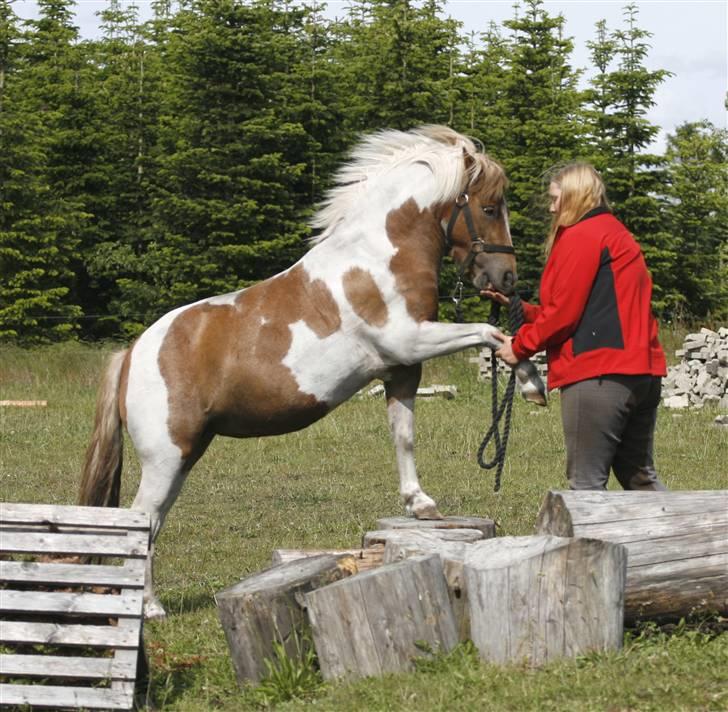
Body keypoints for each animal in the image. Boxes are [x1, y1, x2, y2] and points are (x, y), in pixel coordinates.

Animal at [79, 124, 544, 616]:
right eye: (489, 208)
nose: (507, 278)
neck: (376, 259)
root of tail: (132, 354)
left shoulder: (402, 369)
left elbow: (404, 436)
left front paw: (420, 504)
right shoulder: (409, 339)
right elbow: (489, 333)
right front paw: (533, 385)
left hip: (184, 455)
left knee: (153, 520)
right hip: (165, 456)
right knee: (142, 519)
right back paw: (149, 607)